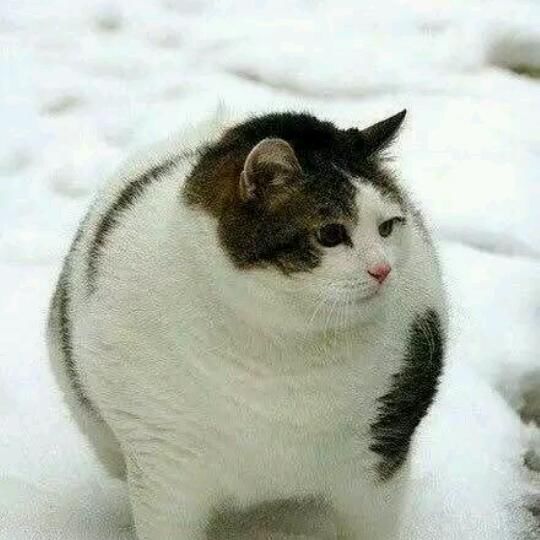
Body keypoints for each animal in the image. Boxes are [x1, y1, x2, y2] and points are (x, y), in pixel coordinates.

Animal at [47, 109, 447, 539]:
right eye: (330, 234)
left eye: (388, 227)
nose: (383, 270)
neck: (283, 347)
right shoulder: (164, 459)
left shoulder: (380, 452)